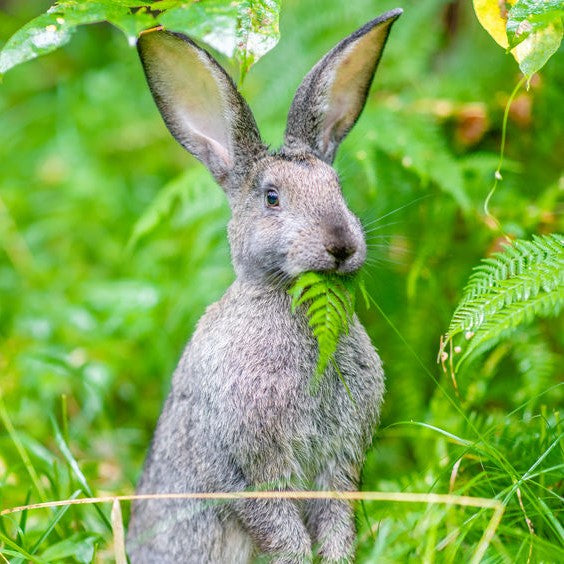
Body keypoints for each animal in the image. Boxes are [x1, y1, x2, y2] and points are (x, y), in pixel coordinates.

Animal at [127, 8, 400, 564]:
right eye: (272, 198)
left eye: (337, 189)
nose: (341, 245)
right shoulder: (243, 470)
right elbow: (278, 529)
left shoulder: (339, 466)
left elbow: (337, 523)